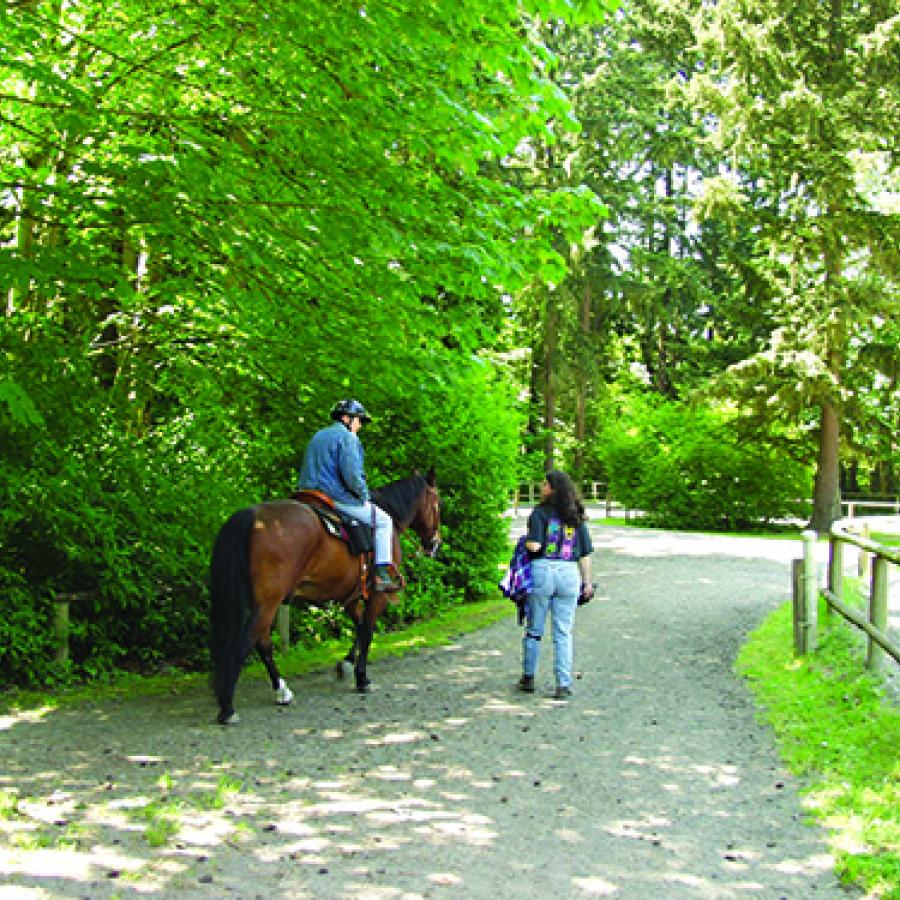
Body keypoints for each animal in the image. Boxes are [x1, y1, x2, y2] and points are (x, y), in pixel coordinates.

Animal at [208, 472, 440, 724]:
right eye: (437, 504)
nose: (435, 543)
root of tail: (253, 516)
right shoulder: (378, 596)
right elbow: (368, 630)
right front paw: (361, 678)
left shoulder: (350, 596)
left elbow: (359, 627)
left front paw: (345, 665)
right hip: (268, 603)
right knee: (246, 644)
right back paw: (228, 708)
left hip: (263, 604)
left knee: (263, 644)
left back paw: (282, 691)